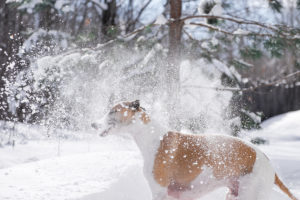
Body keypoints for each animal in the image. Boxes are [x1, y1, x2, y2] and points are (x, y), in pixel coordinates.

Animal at [92, 100, 298, 200]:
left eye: (113, 111)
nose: (92, 124)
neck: (152, 137)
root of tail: (267, 161)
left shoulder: (160, 192)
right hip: (233, 195)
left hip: (251, 194)